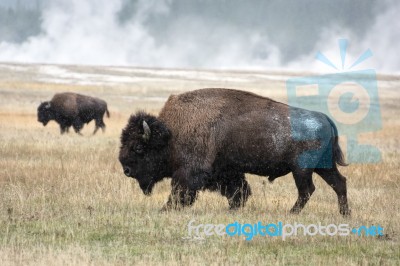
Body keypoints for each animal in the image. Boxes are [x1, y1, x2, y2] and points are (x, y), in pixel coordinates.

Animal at [119, 88, 350, 215]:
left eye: (138, 147)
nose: (126, 170)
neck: (172, 133)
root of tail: (324, 118)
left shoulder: (189, 172)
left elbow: (180, 192)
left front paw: (165, 209)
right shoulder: (227, 171)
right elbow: (239, 191)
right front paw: (233, 208)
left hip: (301, 170)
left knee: (307, 190)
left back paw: (291, 213)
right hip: (323, 167)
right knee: (339, 183)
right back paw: (344, 214)